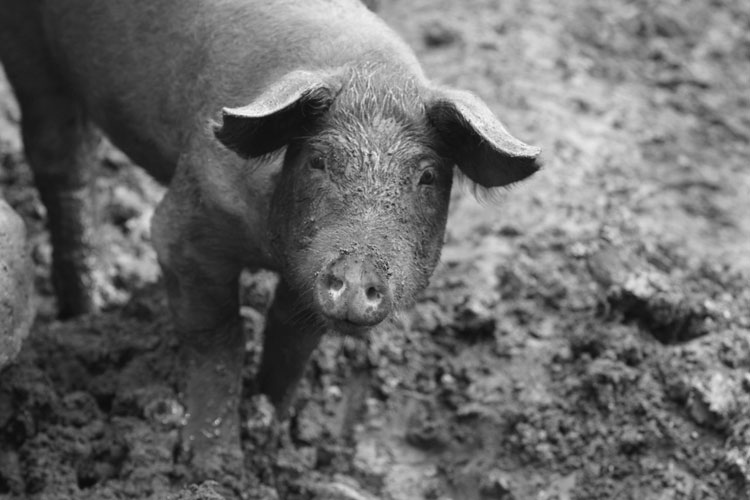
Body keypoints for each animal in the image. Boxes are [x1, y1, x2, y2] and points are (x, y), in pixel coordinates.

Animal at [0, 0, 540, 486]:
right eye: (318, 161)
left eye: (427, 176)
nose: (358, 273)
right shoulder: (185, 226)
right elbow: (219, 337)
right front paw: (213, 470)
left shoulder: (307, 282)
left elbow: (290, 340)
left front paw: (273, 435)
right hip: (28, 47)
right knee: (62, 158)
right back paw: (88, 309)